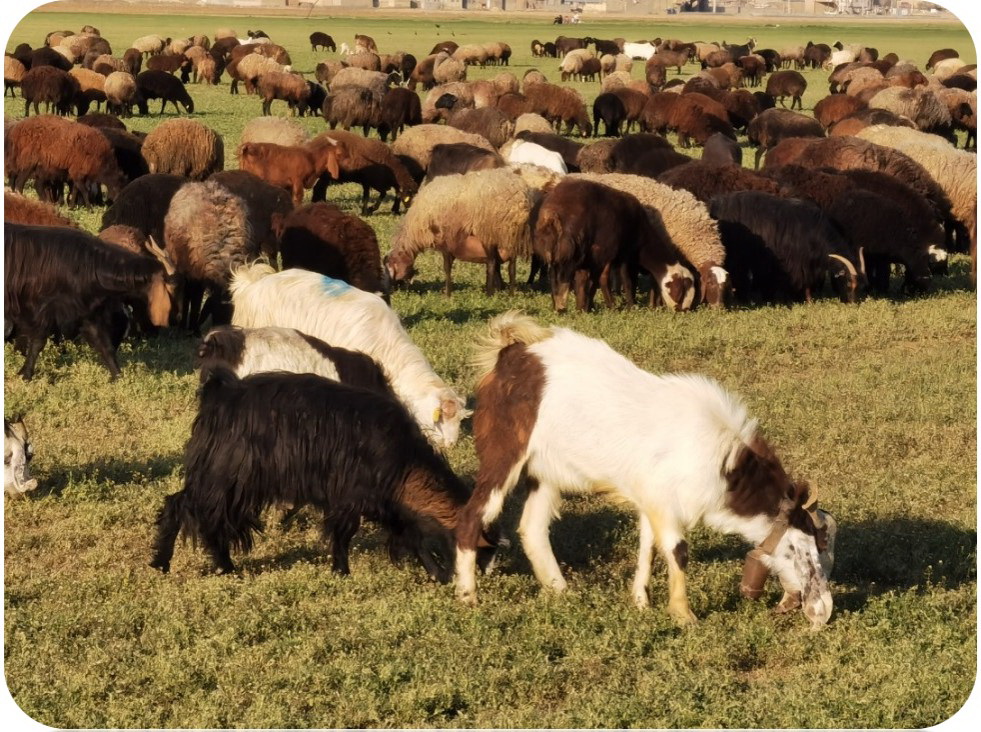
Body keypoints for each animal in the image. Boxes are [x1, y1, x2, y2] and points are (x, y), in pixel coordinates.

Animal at [164, 180, 258, 329]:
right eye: (216, 313)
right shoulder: (196, 273)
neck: (224, 253)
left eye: (232, 318)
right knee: (188, 295)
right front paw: (192, 329)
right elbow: (195, 301)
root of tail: (200, 183)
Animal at [386, 168, 536, 297]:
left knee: (492, 262)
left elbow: (447, 268)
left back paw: (489, 293)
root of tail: (520, 190)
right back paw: (510, 294)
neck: (415, 229)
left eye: (392, 267)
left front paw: (447, 294)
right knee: (511, 266)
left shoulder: (445, 241)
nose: (394, 290)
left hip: (489, 232)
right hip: (509, 234)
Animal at [454, 311, 833, 628]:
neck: (724, 462)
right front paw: (683, 615)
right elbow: (677, 551)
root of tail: (509, 353)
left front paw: (641, 602)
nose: (820, 608)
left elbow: (648, 546)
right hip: (504, 453)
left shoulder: (652, 498)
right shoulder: (666, 502)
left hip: (545, 470)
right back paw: (468, 597)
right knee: (473, 516)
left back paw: (561, 592)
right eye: (802, 548)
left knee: (532, 528)